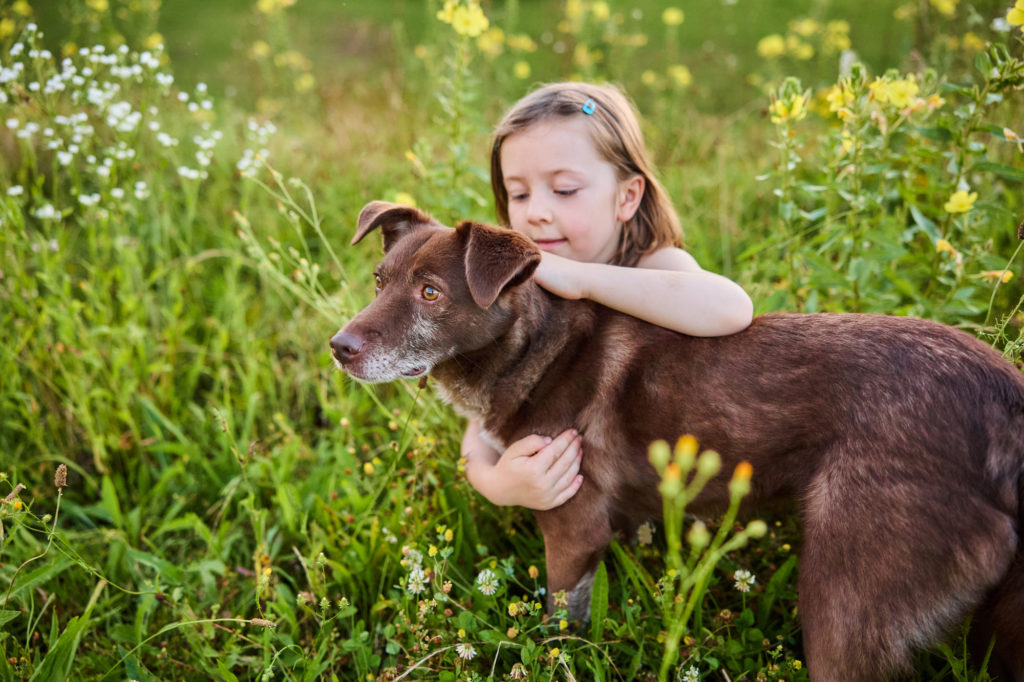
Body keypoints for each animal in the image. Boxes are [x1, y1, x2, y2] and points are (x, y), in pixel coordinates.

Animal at [331, 199, 1024, 675]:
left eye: (431, 293)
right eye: (378, 280)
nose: (339, 347)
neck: (532, 346)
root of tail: (1003, 398)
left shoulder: (572, 525)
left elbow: (558, 625)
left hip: (844, 599)